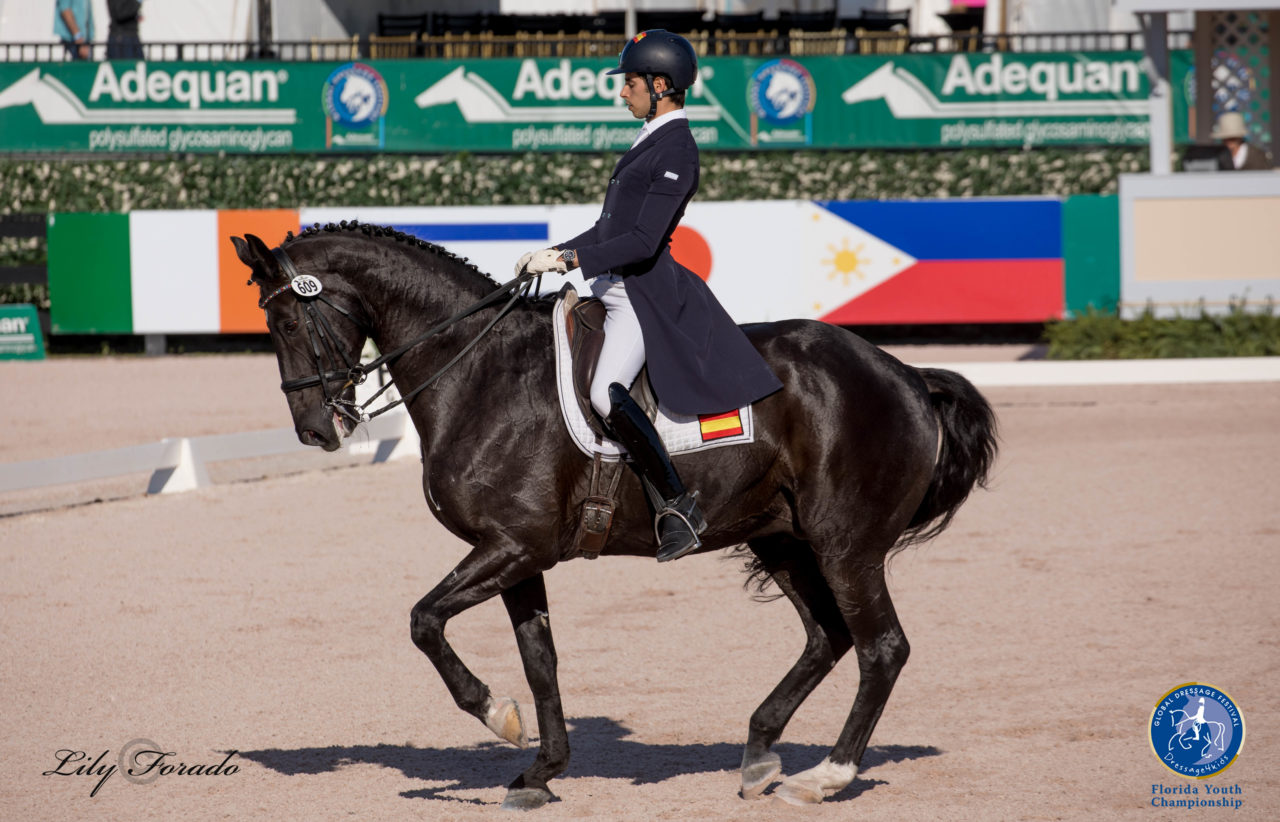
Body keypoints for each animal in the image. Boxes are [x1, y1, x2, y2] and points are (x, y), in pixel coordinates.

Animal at [230, 218, 993, 809]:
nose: (314, 431)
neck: (478, 372)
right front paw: (540, 770)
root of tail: (905, 375)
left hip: (845, 544)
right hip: (782, 539)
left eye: (288, 319)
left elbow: (424, 621)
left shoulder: (515, 546)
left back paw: (826, 776)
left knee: (881, 647)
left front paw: (498, 716)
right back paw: (758, 754)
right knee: (828, 637)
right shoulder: (515, 553)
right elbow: (540, 659)